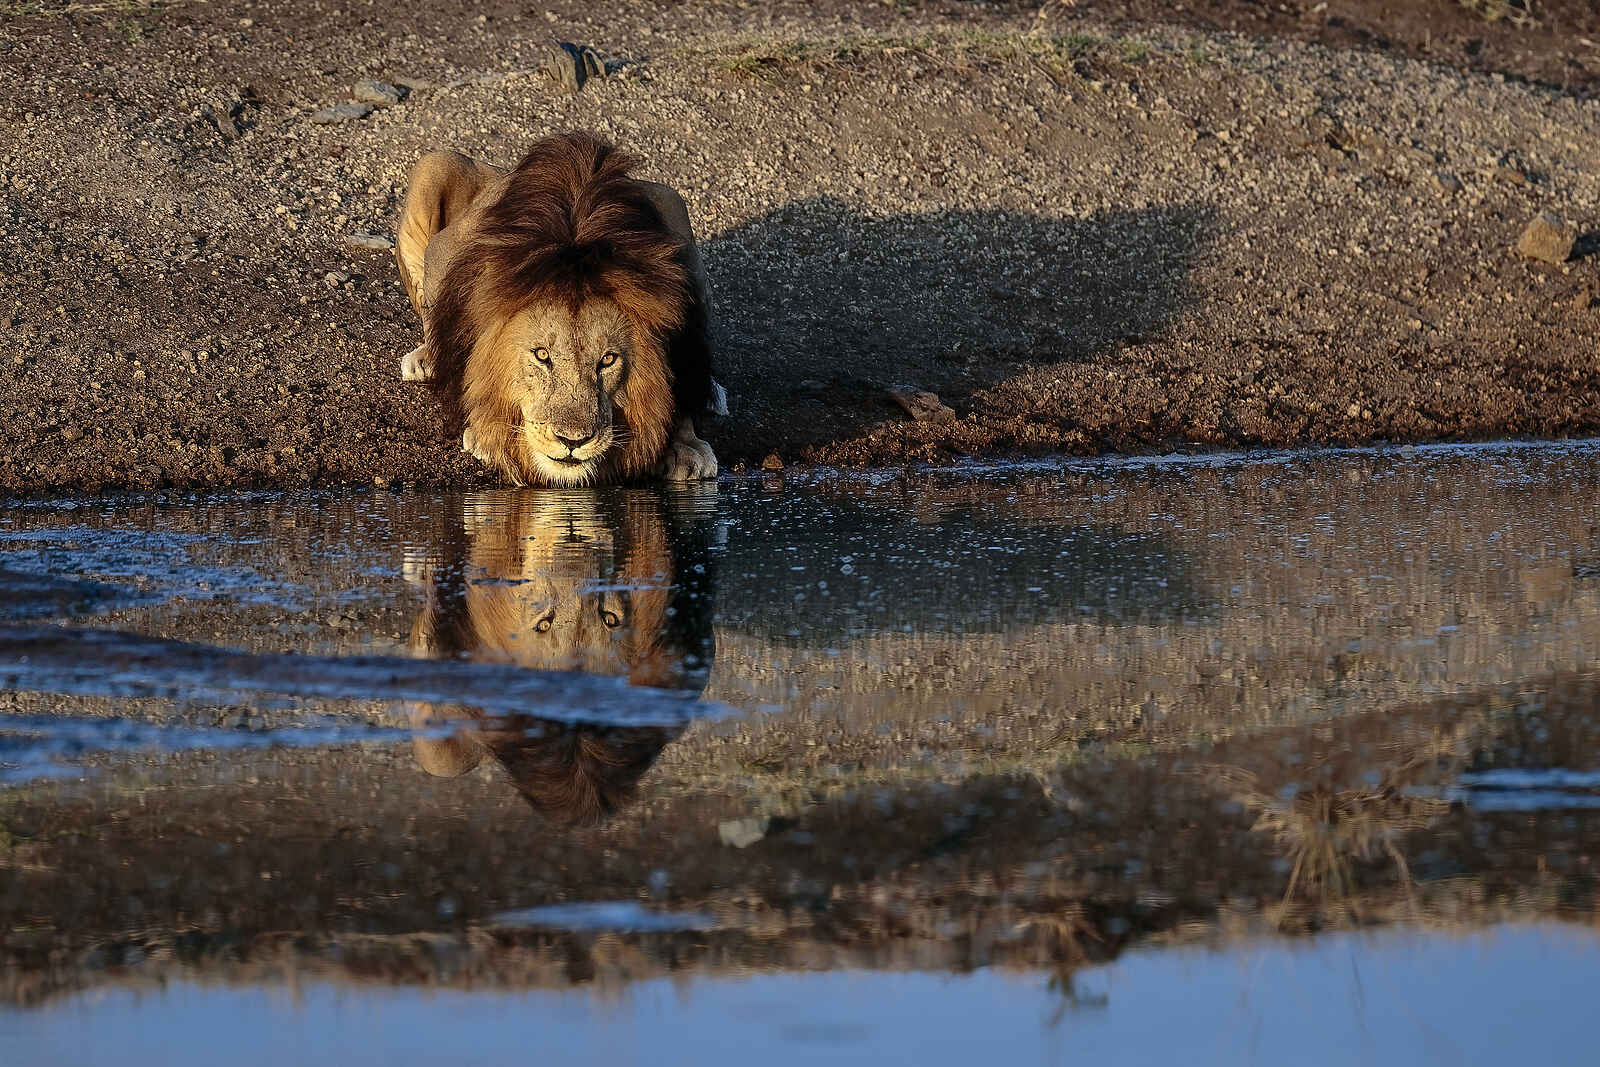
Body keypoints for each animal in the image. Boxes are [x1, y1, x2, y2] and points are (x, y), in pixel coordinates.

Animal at [394, 131, 724, 486]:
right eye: (542, 356)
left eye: (607, 360)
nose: (573, 441)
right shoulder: (447, 250)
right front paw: (481, 432)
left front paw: (686, 446)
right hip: (435, 163)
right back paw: (425, 360)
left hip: (675, 207)